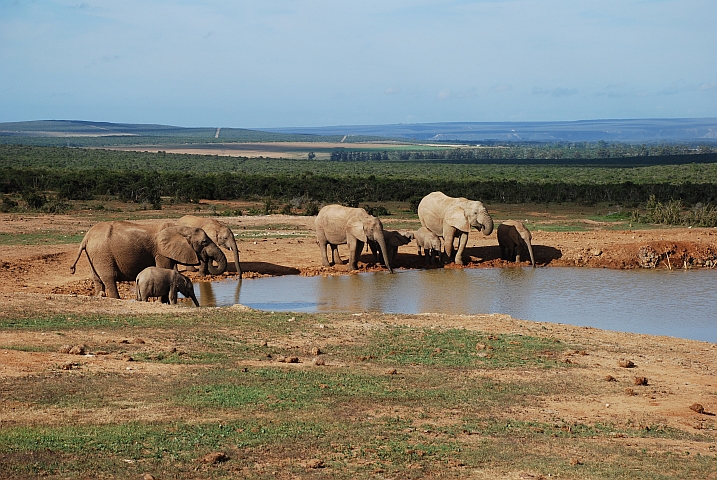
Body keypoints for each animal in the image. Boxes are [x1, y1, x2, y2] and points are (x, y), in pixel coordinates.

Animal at [69, 220, 227, 296]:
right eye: (204, 242)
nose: (207, 258)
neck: (181, 228)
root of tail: (86, 237)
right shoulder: (161, 252)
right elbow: (164, 268)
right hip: (102, 253)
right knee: (109, 278)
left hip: (94, 254)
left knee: (97, 279)